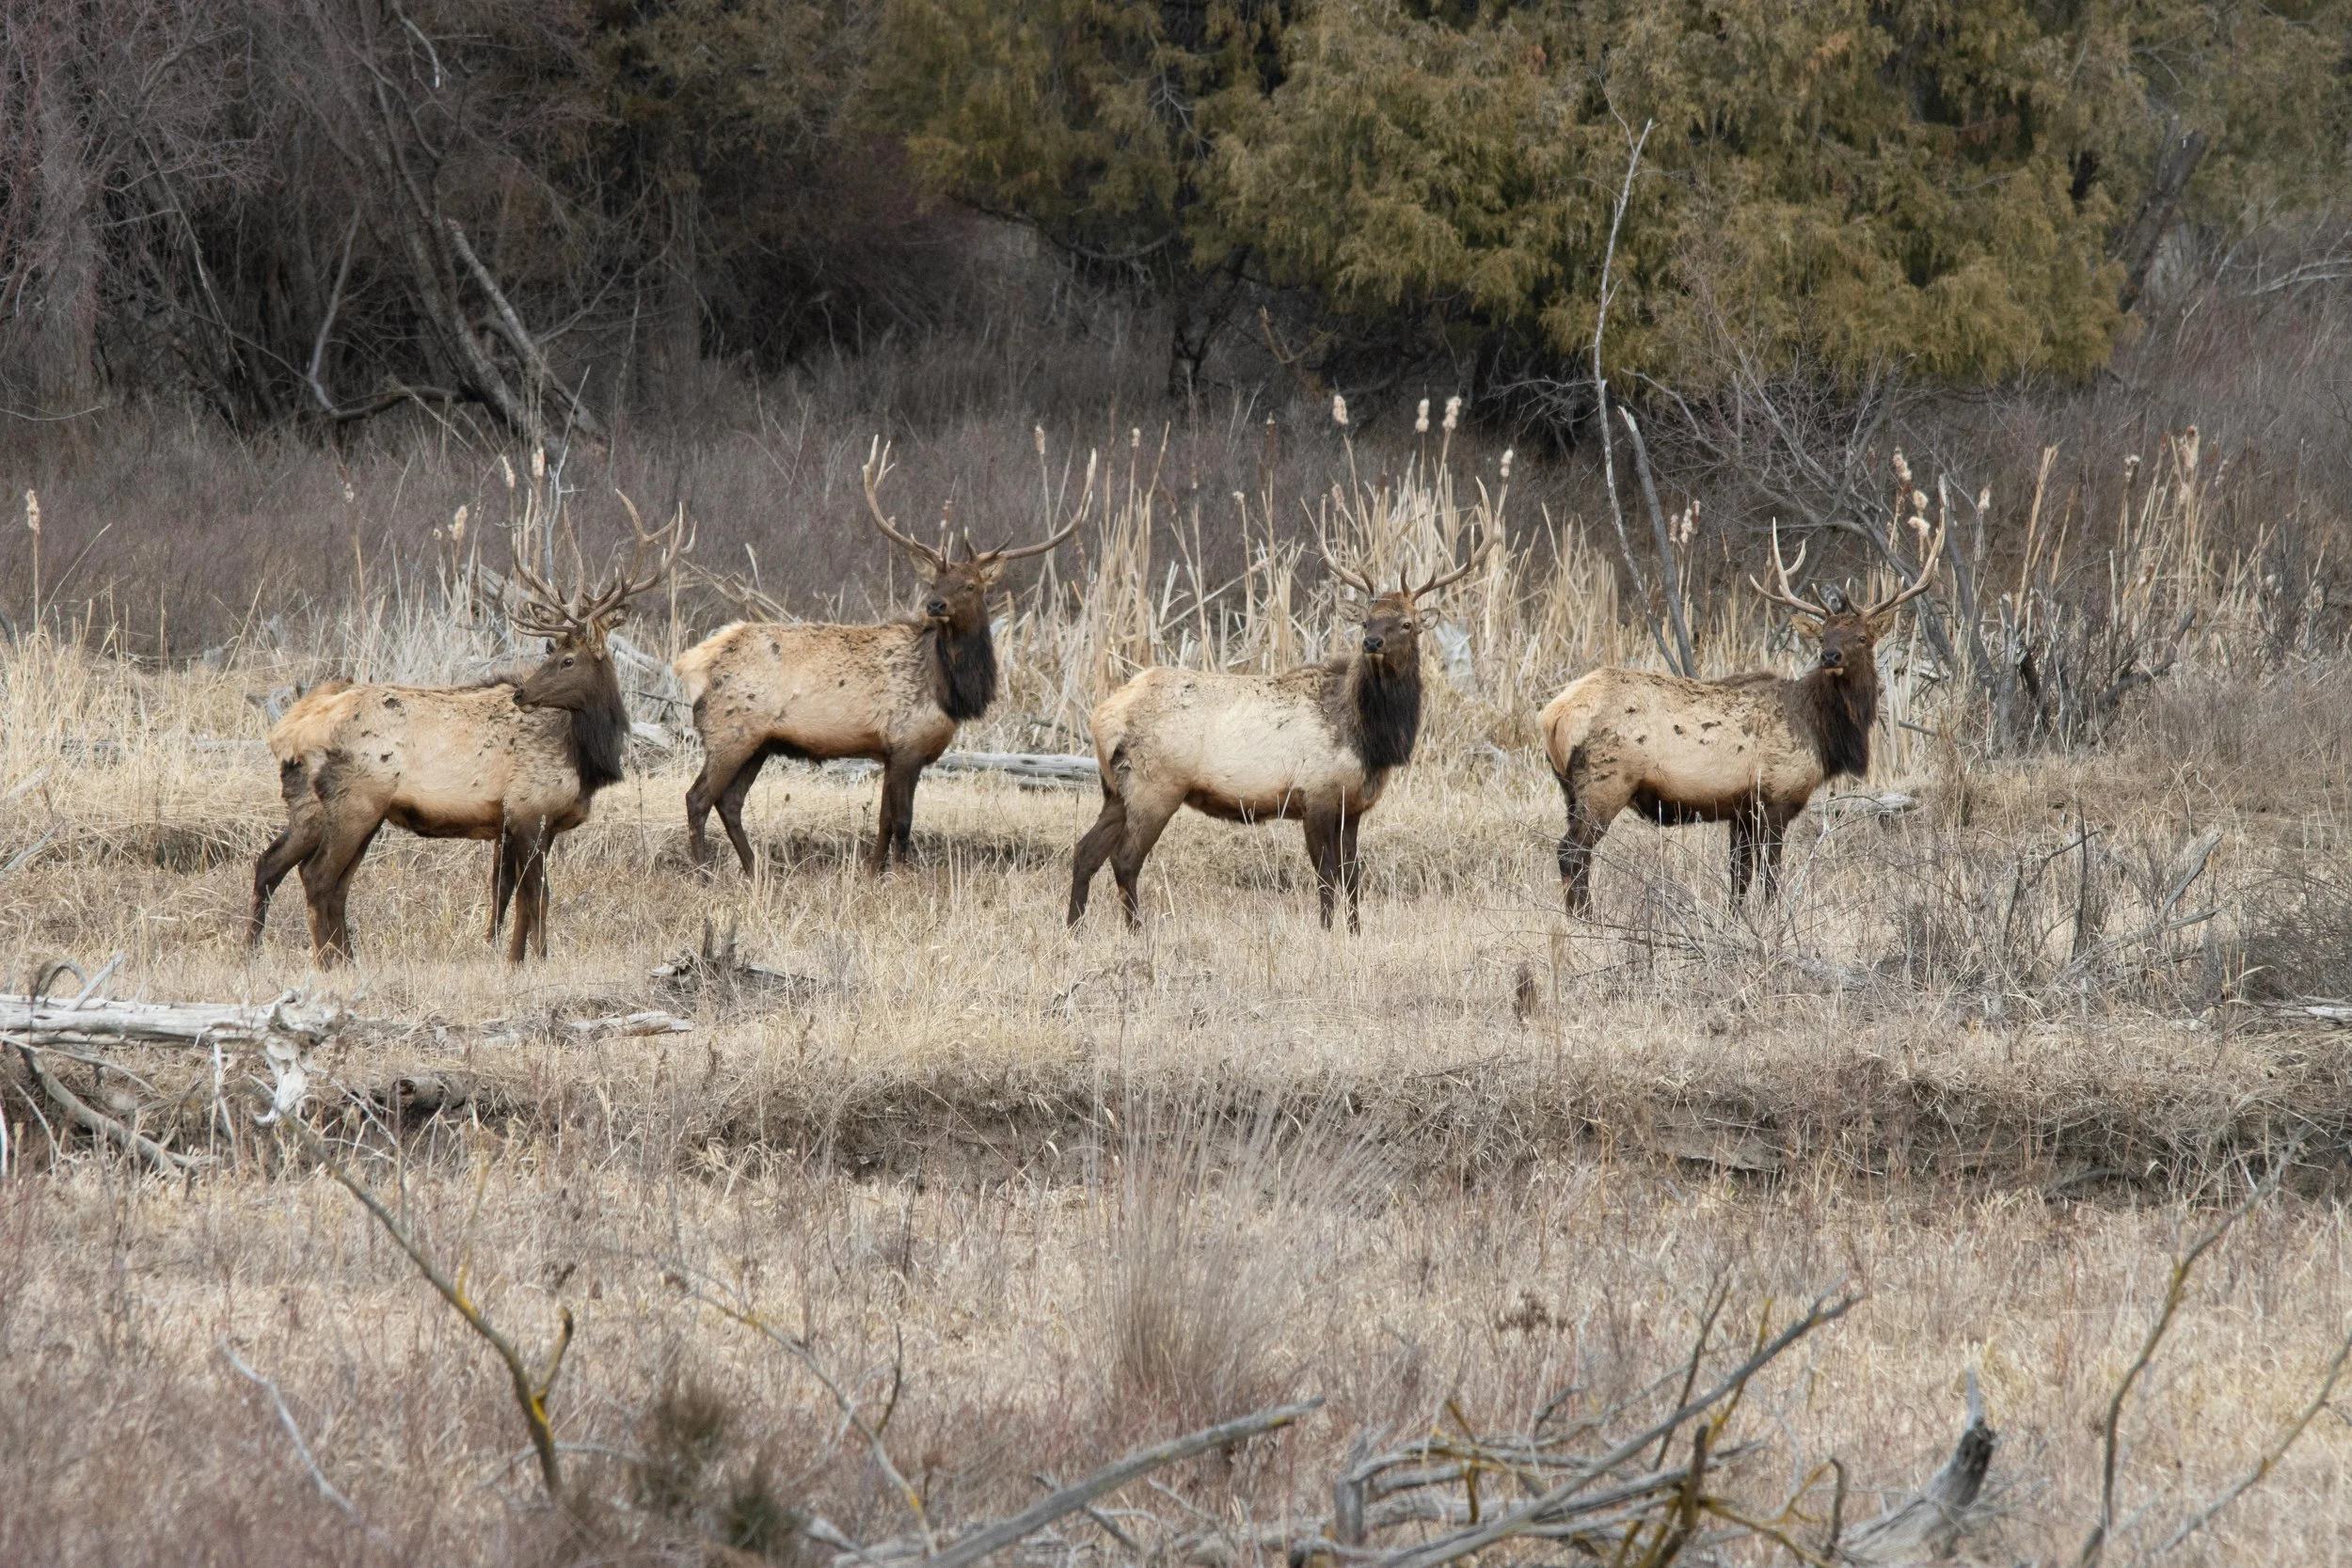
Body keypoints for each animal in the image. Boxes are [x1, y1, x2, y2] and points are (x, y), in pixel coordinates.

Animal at [249, 502, 689, 965]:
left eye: (567, 660)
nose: (522, 693)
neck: (585, 758)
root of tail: (287, 731)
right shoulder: (528, 808)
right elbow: (537, 896)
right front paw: (538, 959)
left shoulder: (523, 825)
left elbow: (511, 897)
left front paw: (512, 960)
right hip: (356, 800)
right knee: (317, 876)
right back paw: (327, 962)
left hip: (317, 807)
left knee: (279, 866)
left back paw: (277, 953)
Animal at [675, 438, 1090, 874]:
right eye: (935, 581)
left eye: (971, 585)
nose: (935, 605)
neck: (948, 690)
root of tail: (691, 662)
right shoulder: (907, 744)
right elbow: (904, 821)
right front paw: (904, 875)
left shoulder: (893, 752)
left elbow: (883, 820)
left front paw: (874, 871)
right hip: (730, 732)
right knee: (698, 798)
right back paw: (704, 873)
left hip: (758, 743)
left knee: (729, 801)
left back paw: (754, 870)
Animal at [1067, 526, 1491, 933]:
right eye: (1367, 621)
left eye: (1406, 623)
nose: (1372, 642)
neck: (1371, 740)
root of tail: (1101, 716)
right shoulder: (1316, 795)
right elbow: (1326, 875)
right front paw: (1326, 930)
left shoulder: (1352, 806)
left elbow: (1352, 874)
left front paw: (1356, 932)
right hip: (1155, 786)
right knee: (1124, 859)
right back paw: (1138, 932)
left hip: (1115, 790)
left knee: (1085, 851)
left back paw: (1074, 929)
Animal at [1539, 513, 1944, 916]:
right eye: (1823, 636)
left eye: (1862, 637)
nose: (1830, 656)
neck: (1821, 732)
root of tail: (1553, 716)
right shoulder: (1776, 797)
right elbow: (1770, 874)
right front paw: (1774, 918)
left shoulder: (1741, 810)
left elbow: (1739, 875)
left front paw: (1735, 919)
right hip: (1605, 782)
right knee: (1571, 852)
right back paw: (1588, 920)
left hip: (1569, 789)